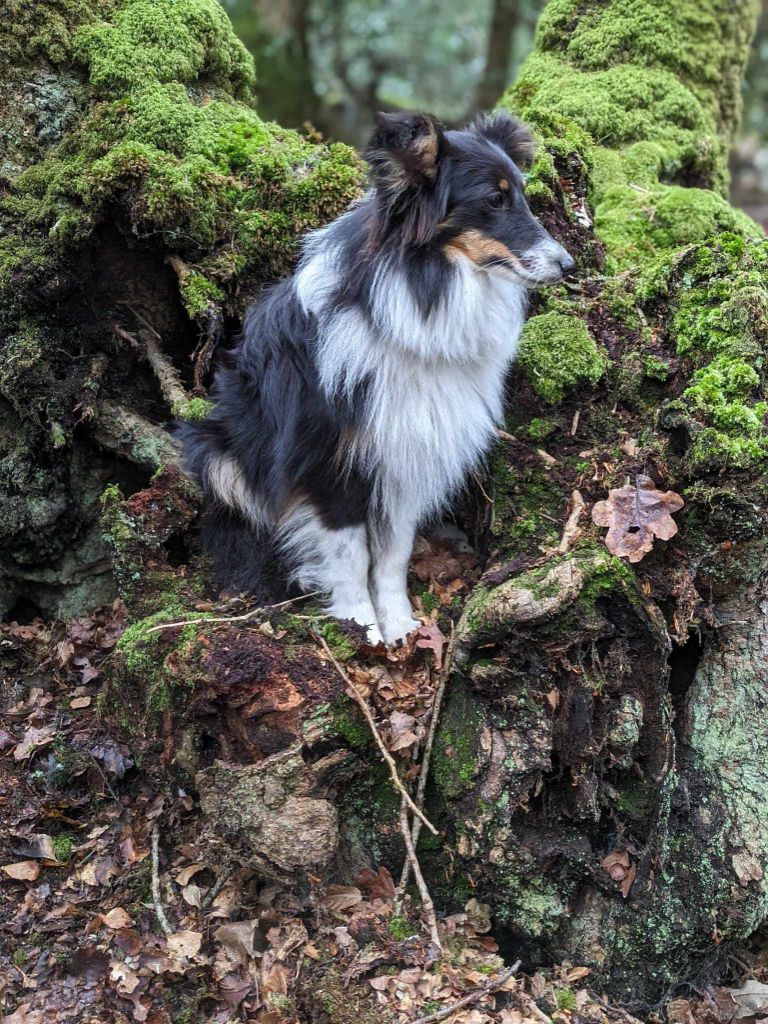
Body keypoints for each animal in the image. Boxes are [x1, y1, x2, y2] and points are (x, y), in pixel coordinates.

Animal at [180, 110, 573, 638]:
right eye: (494, 199)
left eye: (524, 196)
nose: (568, 264)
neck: (418, 299)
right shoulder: (329, 460)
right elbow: (348, 553)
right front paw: (362, 630)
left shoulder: (407, 454)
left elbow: (393, 553)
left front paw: (401, 627)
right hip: (216, 452)